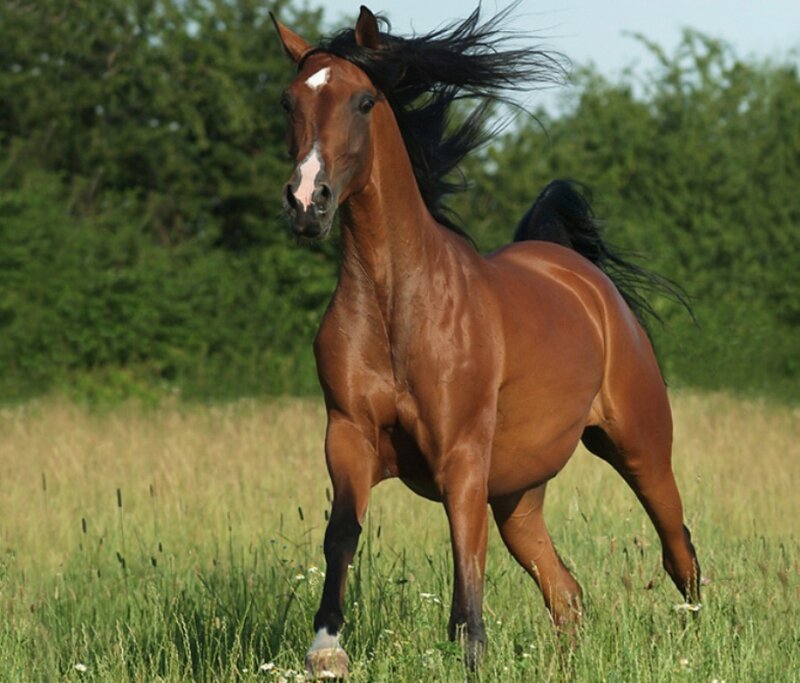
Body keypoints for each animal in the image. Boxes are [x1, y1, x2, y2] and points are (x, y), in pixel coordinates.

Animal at [271, 6, 701, 678]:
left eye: (364, 101)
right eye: (289, 102)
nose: (306, 202)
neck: (400, 306)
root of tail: (585, 279)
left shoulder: (462, 456)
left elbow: (465, 574)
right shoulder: (348, 436)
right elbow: (342, 533)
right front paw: (326, 650)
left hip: (641, 447)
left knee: (679, 551)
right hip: (520, 496)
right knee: (567, 594)